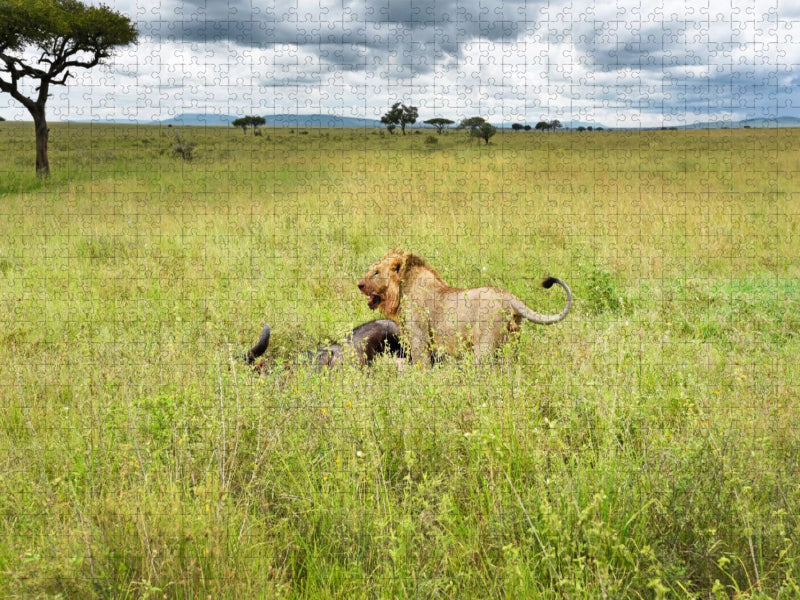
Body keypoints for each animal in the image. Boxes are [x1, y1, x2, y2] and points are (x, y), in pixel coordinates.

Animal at [357, 250, 572, 365]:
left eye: (376, 272)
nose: (359, 284)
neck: (401, 289)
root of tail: (509, 297)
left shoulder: (420, 339)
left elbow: (421, 365)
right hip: (510, 345)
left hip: (484, 347)